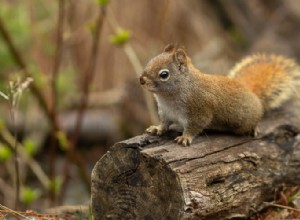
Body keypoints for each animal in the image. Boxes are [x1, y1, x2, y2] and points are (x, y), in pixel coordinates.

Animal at [139, 44, 300, 146]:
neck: (168, 97)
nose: (141, 80)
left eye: (164, 74)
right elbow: (165, 124)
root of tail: (251, 92)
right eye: (150, 61)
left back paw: (254, 128)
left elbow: (194, 127)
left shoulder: (200, 111)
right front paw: (157, 129)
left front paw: (185, 137)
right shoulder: (166, 112)